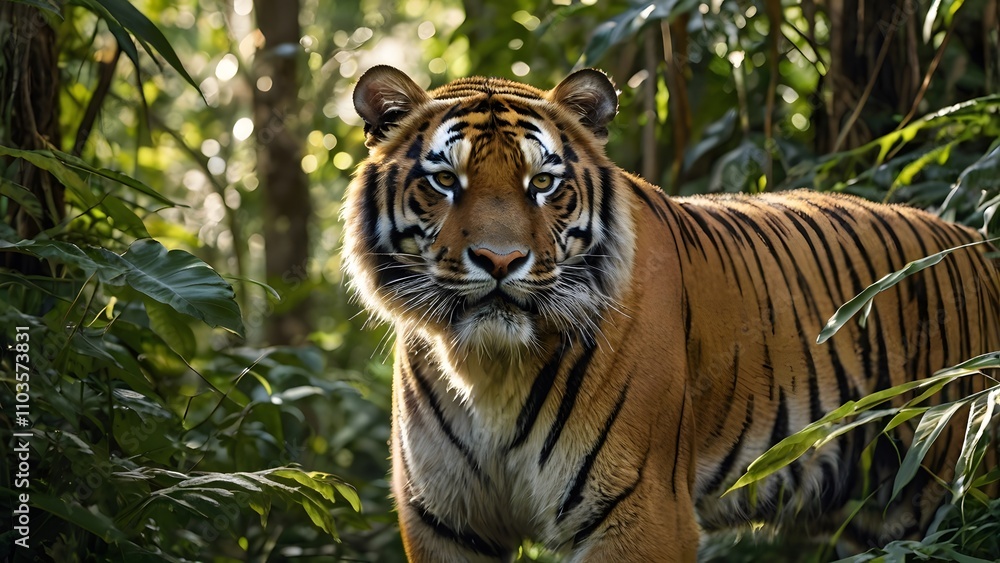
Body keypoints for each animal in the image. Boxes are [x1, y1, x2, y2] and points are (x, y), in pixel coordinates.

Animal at [341, 65, 1000, 562]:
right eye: (445, 180)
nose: (500, 260)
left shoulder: (640, 512)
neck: (488, 370)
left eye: (544, 183)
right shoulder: (445, 524)